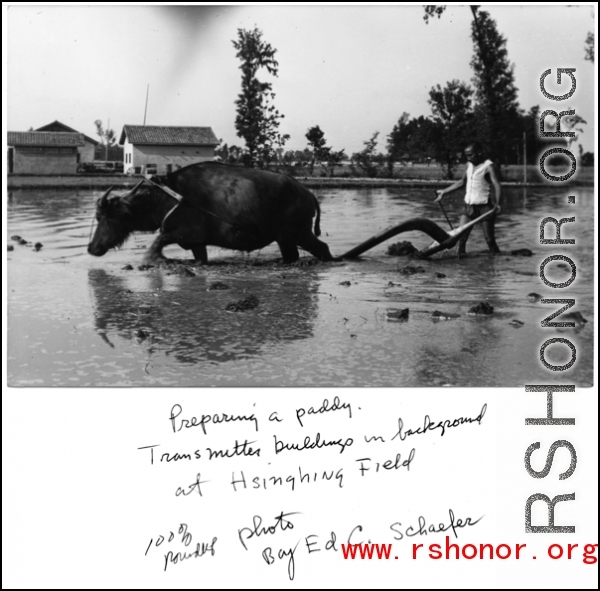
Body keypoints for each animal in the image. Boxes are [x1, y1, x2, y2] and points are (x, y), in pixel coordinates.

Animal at [87, 162, 336, 264]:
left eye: (106, 217)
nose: (91, 248)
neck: (168, 199)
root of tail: (307, 193)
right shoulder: (197, 244)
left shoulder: (181, 234)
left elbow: (157, 243)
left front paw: (152, 260)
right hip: (288, 239)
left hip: (296, 234)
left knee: (322, 248)